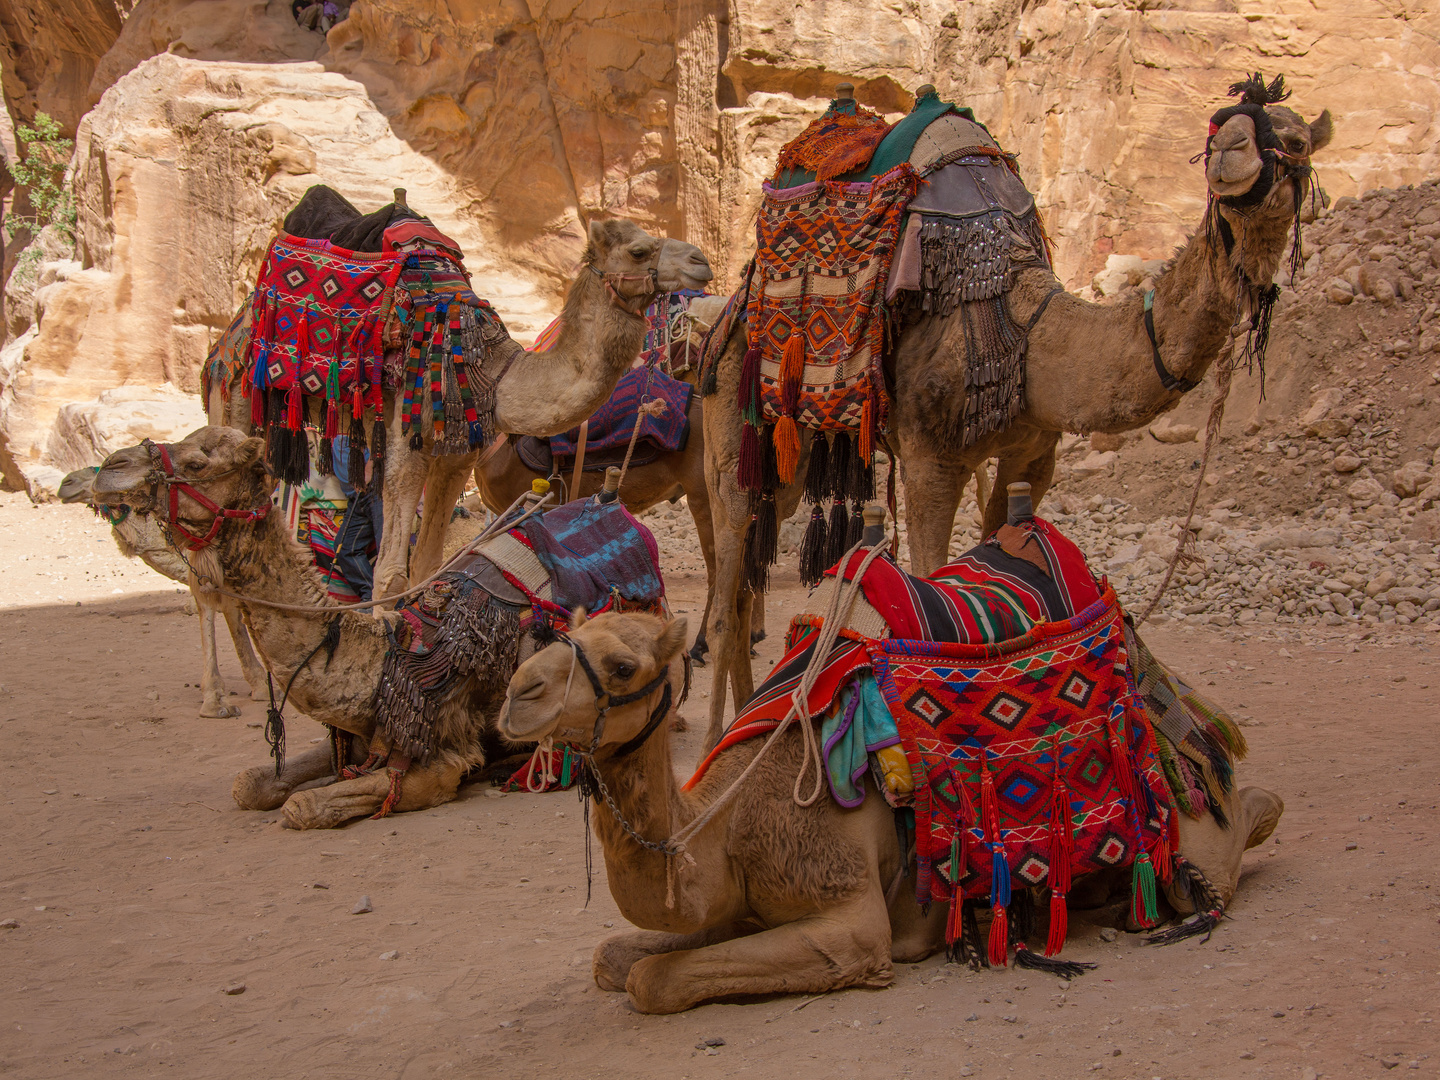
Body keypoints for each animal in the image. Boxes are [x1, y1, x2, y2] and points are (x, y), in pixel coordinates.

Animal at [498, 613, 1284, 1019]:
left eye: (623, 666)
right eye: (569, 634)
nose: (516, 693)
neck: (726, 826)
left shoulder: (848, 916)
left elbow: (651, 981)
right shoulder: (737, 907)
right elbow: (614, 959)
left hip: (1181, 823)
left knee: (1220, 850)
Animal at [702, 78, 1330, 754]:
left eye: (1294, 140)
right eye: (1220, 131)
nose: (1234, 155)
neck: (1029, 334)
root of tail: (733, 305)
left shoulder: (1033, 453)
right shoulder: (931, 458)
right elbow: (930, 575)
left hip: (792, 453)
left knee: (750, 571)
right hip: (735, 411)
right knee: (728, 569)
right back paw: (711, 739)